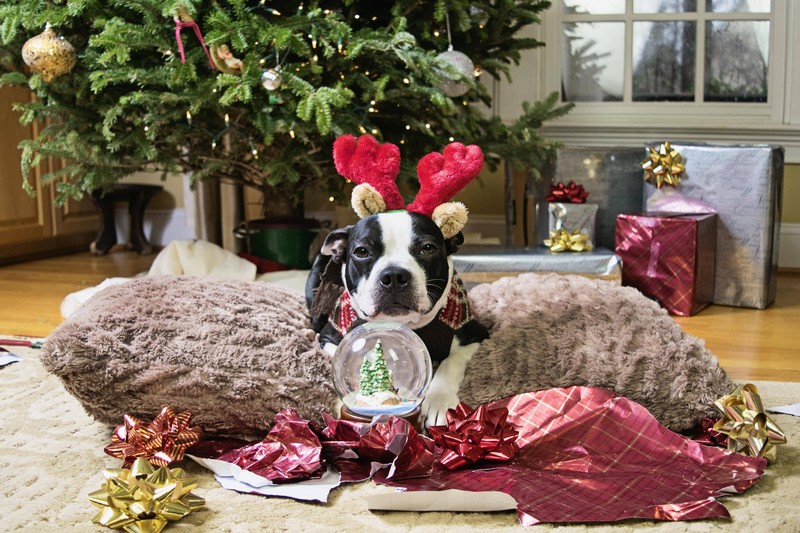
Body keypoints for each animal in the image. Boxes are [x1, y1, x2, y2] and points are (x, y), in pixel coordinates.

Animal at [308, 210, 488, 426]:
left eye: (428, 248)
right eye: (361, 252)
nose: (394, 275)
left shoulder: (475, 334)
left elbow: (450, 363)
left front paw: (439, 401)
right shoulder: (330, 337)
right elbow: (347, 357)